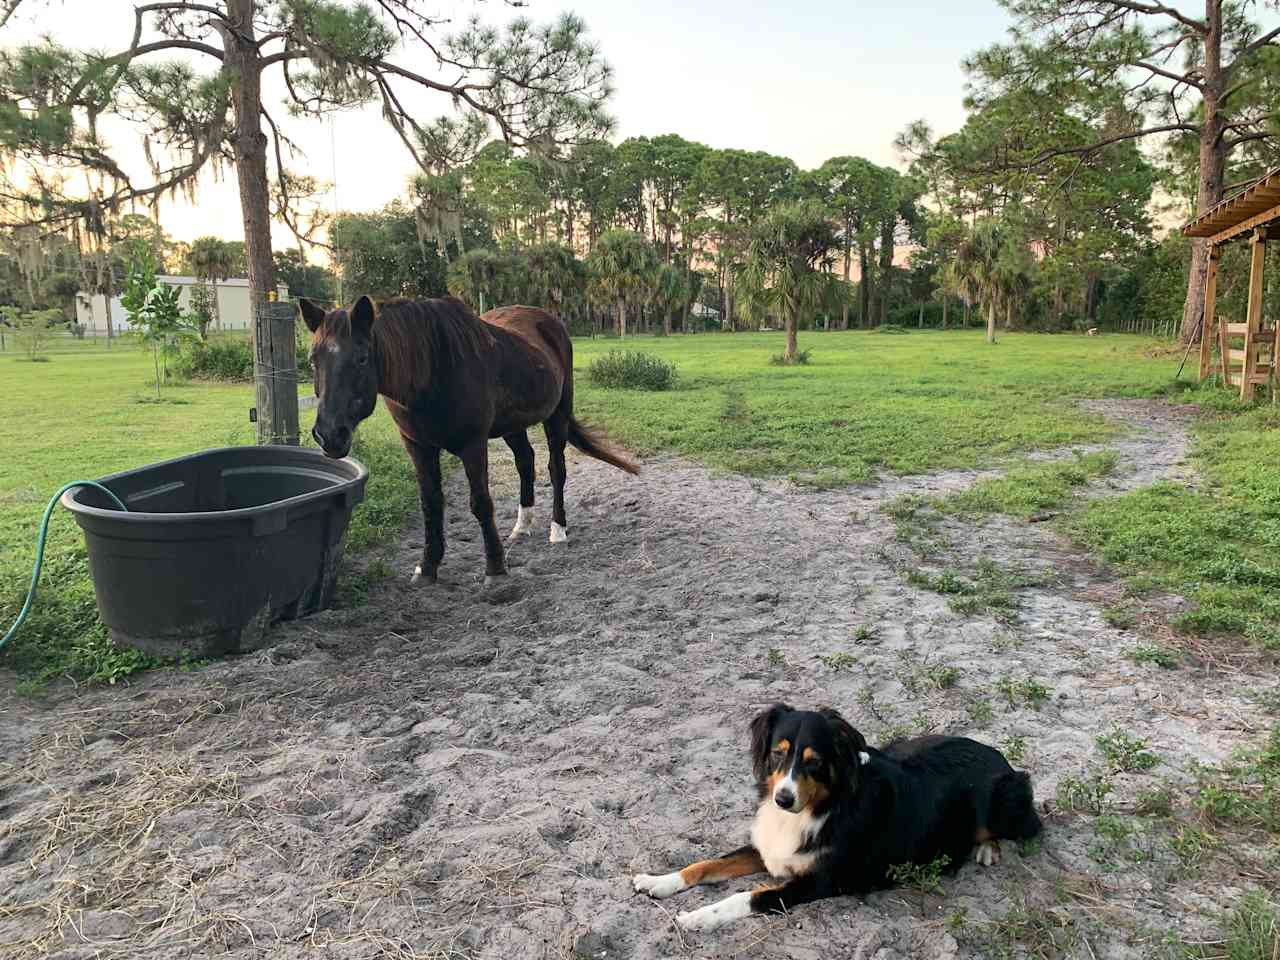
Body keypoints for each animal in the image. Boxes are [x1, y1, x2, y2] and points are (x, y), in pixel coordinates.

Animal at [300, 296, 640, 583]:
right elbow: (431, 503)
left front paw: (495, 568)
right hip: (512, 426)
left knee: (556, 469)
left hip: (557, 415)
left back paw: (557, 530)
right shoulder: (418, 447)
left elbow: (481, 503)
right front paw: (427, 567)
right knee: (525, 463)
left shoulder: (473, 445)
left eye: (361, 359)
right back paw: (521, 526)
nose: (329, 435)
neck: (432, 369)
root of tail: (549, 321)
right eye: (313, 359)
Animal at [629, 706, 1039, 931]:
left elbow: (745, 897)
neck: (820, 809)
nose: (782, 799)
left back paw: (986, 848)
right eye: (778, 754)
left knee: (1027, 826)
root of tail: (995, 753)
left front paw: (697, 917)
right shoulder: (767, 849)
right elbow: (704, 864)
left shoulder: (816, 882)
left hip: (1006, 801)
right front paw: (658, 881)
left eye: (814, 761)